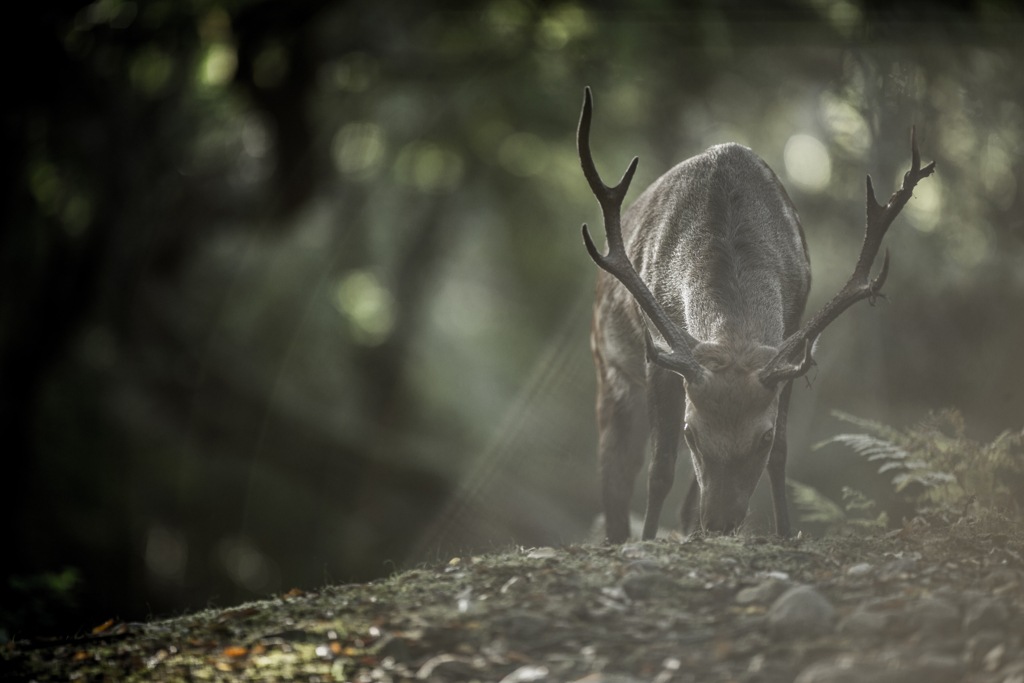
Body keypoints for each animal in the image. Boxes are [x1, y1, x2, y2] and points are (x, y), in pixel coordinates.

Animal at [581, 88, 933, 540]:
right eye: (691, 433)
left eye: (761, 439)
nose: (720, 523)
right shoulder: (658, 356)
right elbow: (659, 469)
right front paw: (648, 540)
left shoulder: (790, 342)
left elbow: (782, 455)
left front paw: (785, 532)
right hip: (608, 366)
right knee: (615, 470)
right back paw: (624, 534)